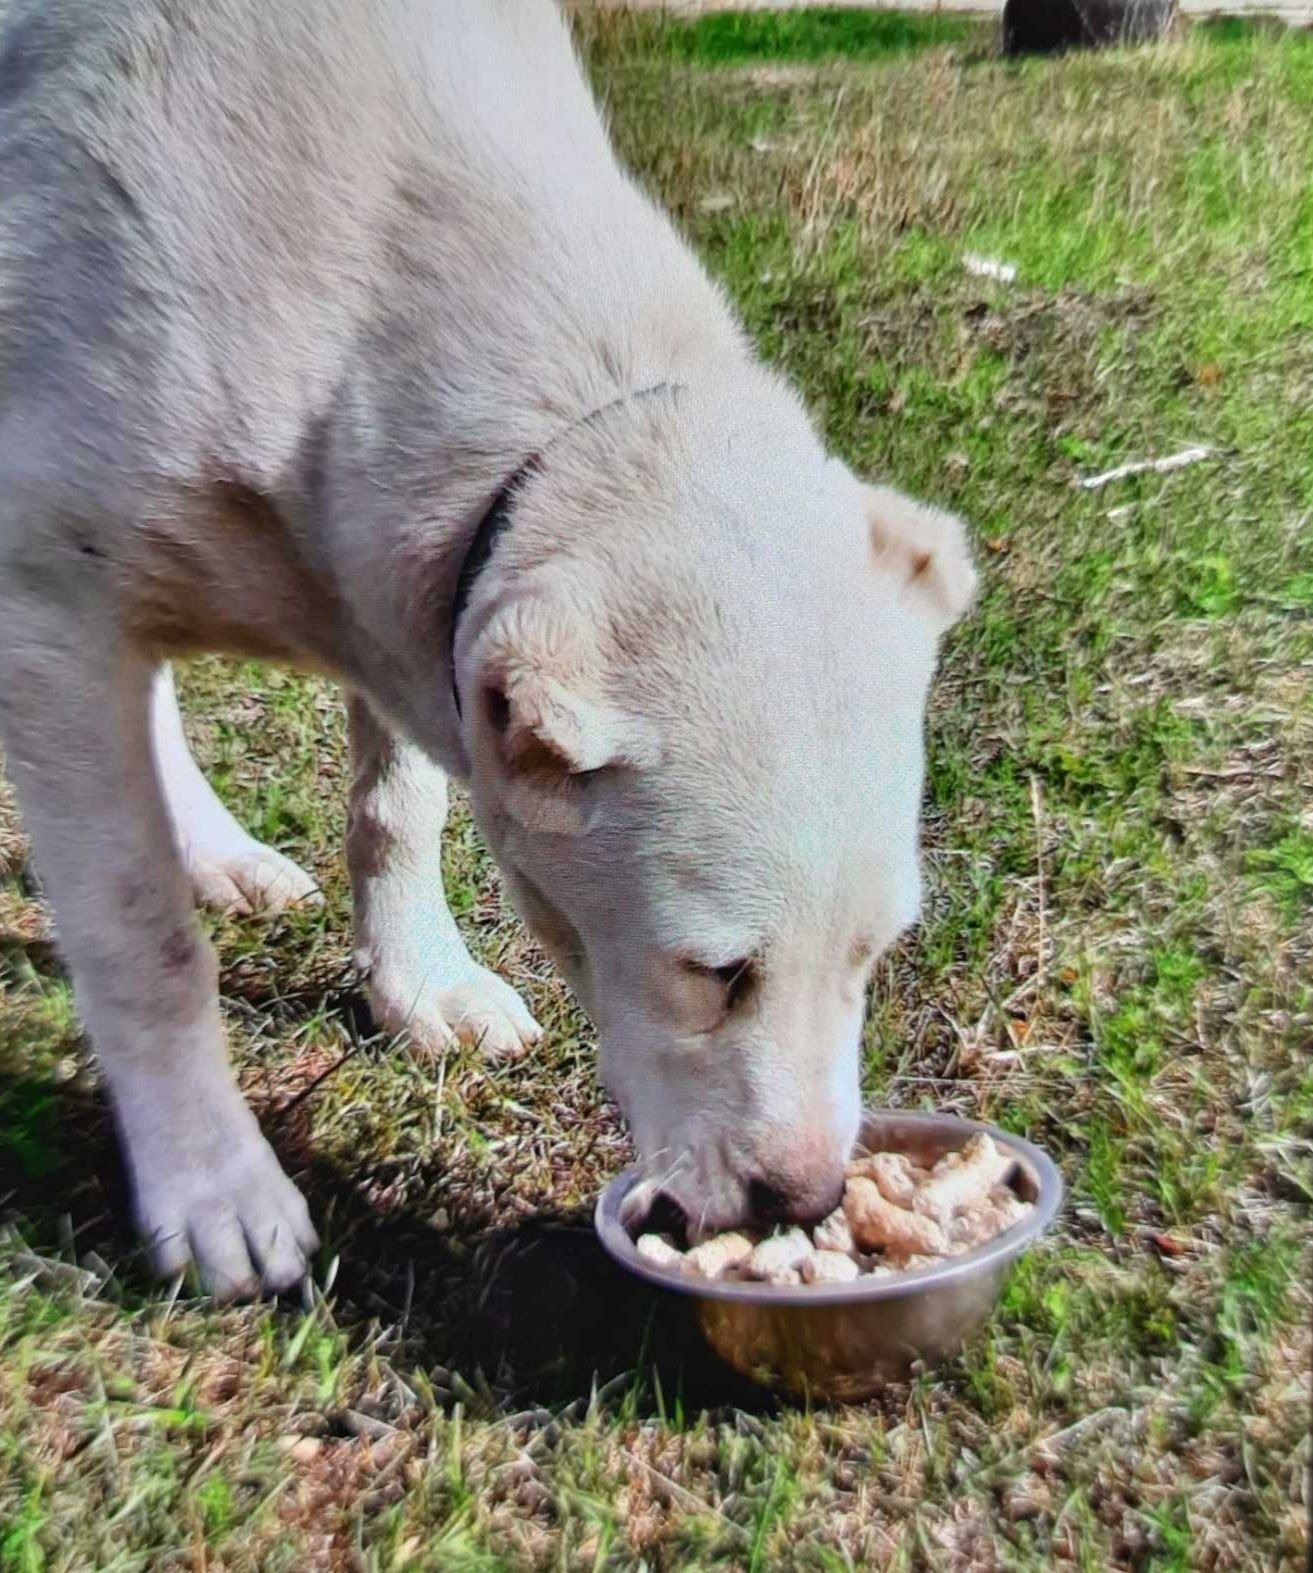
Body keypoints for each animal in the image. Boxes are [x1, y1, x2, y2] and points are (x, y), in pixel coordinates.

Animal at [0, 0, 968, 1296]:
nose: (803, 1201)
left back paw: (218, 853)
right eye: (715, 974)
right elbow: (140, 934)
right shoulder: (47, 609)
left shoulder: (412, 602)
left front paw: (420, 980)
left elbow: (396, 806)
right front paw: (213, 1184)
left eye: (877, 953)